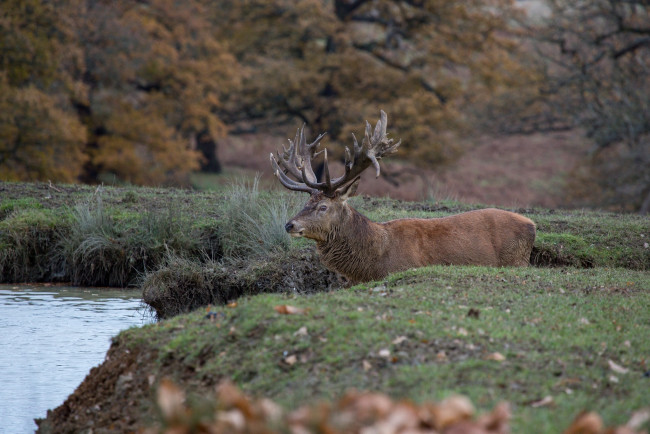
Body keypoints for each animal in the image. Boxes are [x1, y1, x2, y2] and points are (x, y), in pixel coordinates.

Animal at [266, 111, 536, 284]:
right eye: (306, 203)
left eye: (322, 207)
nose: (290, 224)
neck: (374, 262)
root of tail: (532, 224)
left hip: (516, 260)